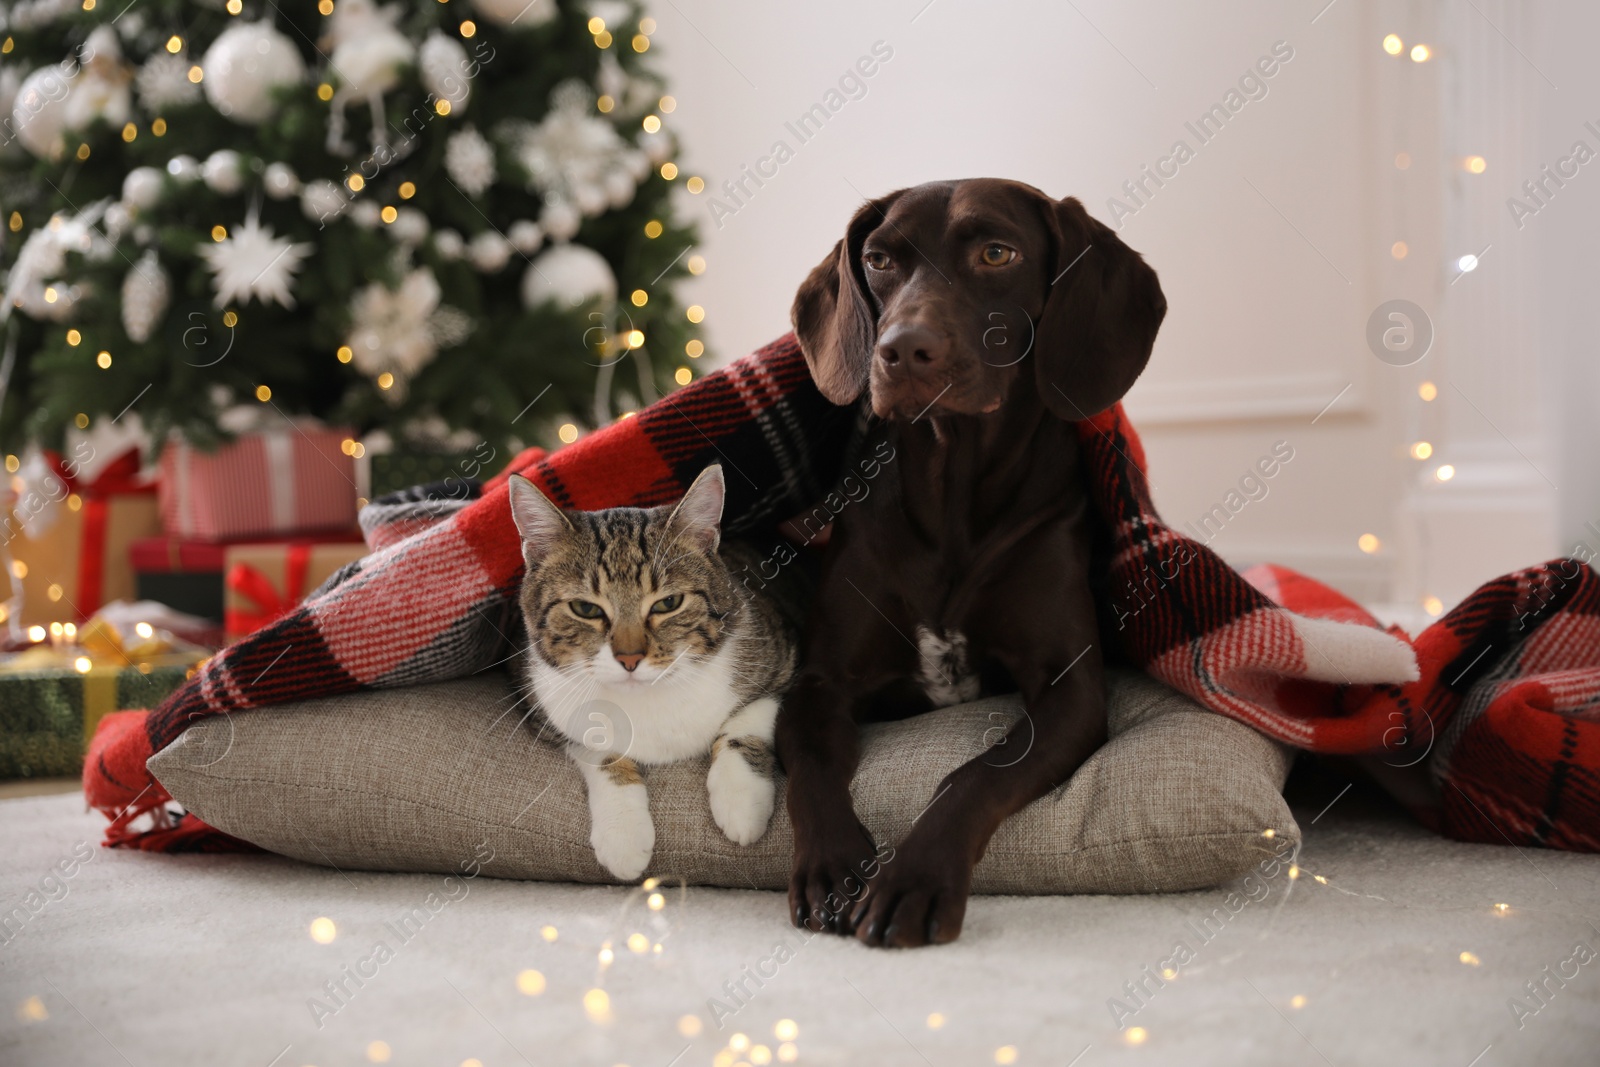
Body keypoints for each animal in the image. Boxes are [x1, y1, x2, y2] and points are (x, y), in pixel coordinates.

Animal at [508, 463, 800, 883]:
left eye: (669, 603)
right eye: (585, 608)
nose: (630, 658)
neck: (649, 696)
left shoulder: (786, 658)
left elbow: (748, 718)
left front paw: (742, 801)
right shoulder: (543, 702)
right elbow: (599, 750)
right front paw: (623, 835)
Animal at [774, 177, 1164, 953]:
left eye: (996, 253)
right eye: (879, 260)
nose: (902, 349)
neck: (952, 489)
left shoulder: (1069, 691)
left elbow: (974, 775)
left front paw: (915, 878)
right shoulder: (818, 683)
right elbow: (813, 765)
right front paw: (832, 865)